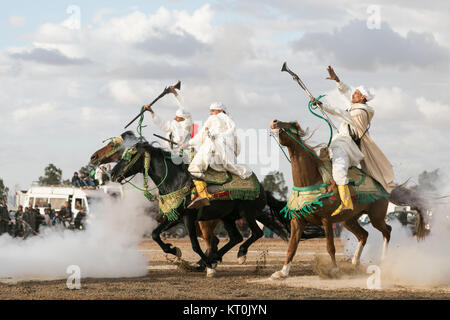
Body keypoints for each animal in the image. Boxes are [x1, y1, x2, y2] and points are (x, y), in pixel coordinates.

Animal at [110, 141, 290, 276]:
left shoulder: (188, 217)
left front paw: (208, 266)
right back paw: (211, 260)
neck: (176, 180)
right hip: (228, 217)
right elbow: (155, 234)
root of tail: (262, 188)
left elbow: (195, 245)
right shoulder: (174, 217)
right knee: (235, 237)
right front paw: (174, 250)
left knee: (256, 233)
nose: (112, 174)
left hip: (246, 214)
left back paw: (237, 255)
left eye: (129, 156)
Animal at [268, 119, 428, 278]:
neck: (311, 180)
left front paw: (334, 270)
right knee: (364, 235)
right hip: (348, 220)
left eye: (290, 124)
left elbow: (330, 247)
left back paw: (382, 261)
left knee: (387, 231)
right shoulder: (297, 221)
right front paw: (282, 272)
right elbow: (292, 246)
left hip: (376, 217)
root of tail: (384, 189)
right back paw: (355, 262)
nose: (274, 121)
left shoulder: (326, 220)